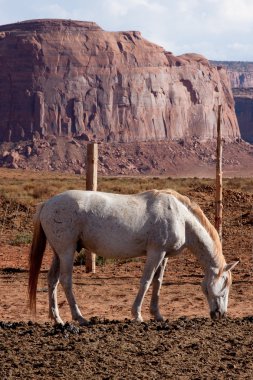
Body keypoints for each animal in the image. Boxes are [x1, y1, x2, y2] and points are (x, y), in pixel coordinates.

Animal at [28, 189, 238, 324]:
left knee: (52, 280)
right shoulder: (155, 252)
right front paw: (137, 314)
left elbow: (158, 282)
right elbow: (146, 281)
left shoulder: (164, 255)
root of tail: (47, 203)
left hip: (58, 252)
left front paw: (157, 315)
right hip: (67, 251)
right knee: (66, 281)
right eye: (225, 284)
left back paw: (57, 319)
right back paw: (79, 317)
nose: (221, 314)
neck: (181, 216)